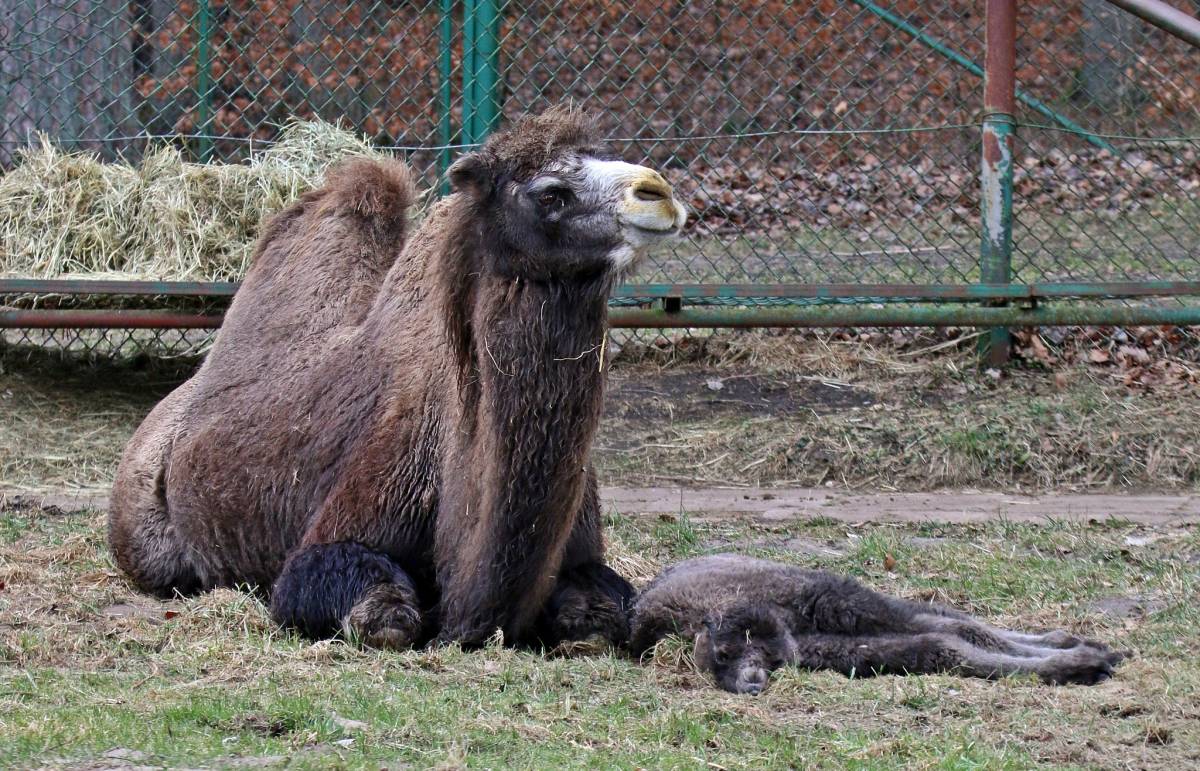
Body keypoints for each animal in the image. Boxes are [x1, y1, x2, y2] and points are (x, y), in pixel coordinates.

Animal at [628, 552, 1123, 691]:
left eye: (727, 653)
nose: (747, 684)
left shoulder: (830, 602)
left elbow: (949, 633)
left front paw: (1083, 659)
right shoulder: (830, 648)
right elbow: (939, 647)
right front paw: (1077, 663)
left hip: (840, 595)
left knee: (947, 617)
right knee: (944, 623)